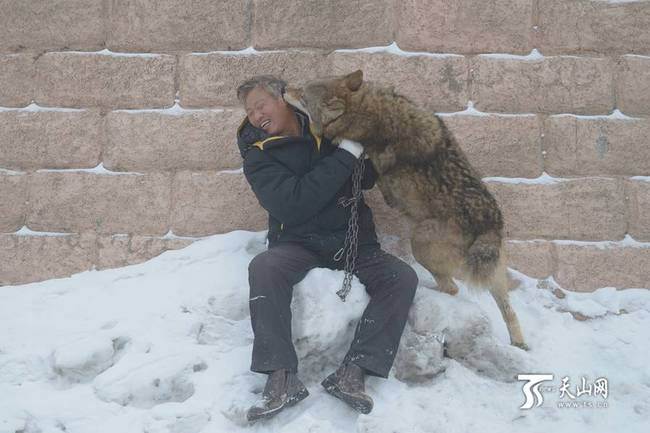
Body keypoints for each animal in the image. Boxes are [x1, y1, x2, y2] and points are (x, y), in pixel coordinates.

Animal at [284, 69, 528, 350]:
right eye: (301, 86)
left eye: (302, 95)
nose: (283, 88)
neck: (369, 110)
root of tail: (490, 223)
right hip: (492, 274)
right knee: (507, 310)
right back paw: (519, 343)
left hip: (421, 244)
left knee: (453, 288)